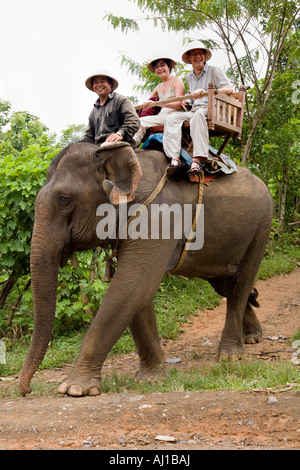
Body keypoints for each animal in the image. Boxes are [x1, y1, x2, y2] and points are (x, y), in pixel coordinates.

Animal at [17, 140, 274, 396]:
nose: (26, 390)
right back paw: (252, 337)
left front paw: (74, 388)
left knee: (240, 284)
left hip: (262, 226)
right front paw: (152, 379)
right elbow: (137, 293)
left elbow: (133, 285)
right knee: (226, 284)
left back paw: (230, 356)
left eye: (64, 199)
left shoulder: (159, 216)